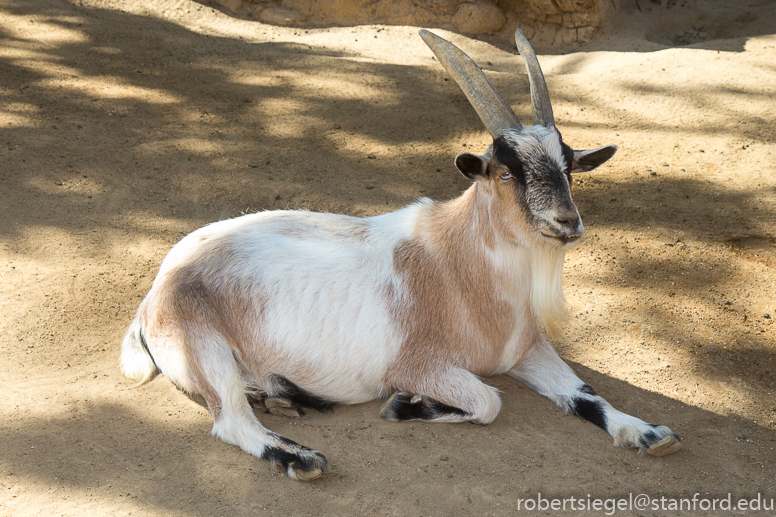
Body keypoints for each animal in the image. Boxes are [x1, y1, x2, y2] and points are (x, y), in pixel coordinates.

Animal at [120, 29, 682, 481]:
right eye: (505, 171)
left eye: (569, 167)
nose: (567, 222)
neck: (459, 263)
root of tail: (156, 294)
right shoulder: (421, 365)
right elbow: (488, 401)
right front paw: (405, 407)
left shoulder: (526, 351)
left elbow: (585, 392)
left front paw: (648, 432)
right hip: (207, 350)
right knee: (231, 421)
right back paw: (300, 456)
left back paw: (284, 397)